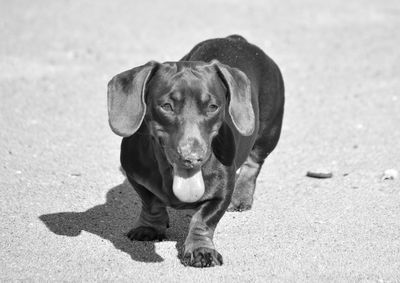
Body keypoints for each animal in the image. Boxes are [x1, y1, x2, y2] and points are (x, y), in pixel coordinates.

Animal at [107, 35, 284, 268]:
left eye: (213, 107)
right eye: (166, 106)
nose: (192, 158)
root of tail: (236, 40)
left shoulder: (221, 192)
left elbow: (203, 220)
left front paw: (201, 249)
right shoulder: (135, 176)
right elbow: (151, 202)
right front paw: (149, 227)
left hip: (268, 133)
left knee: (253, 164)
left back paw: (241, 196)